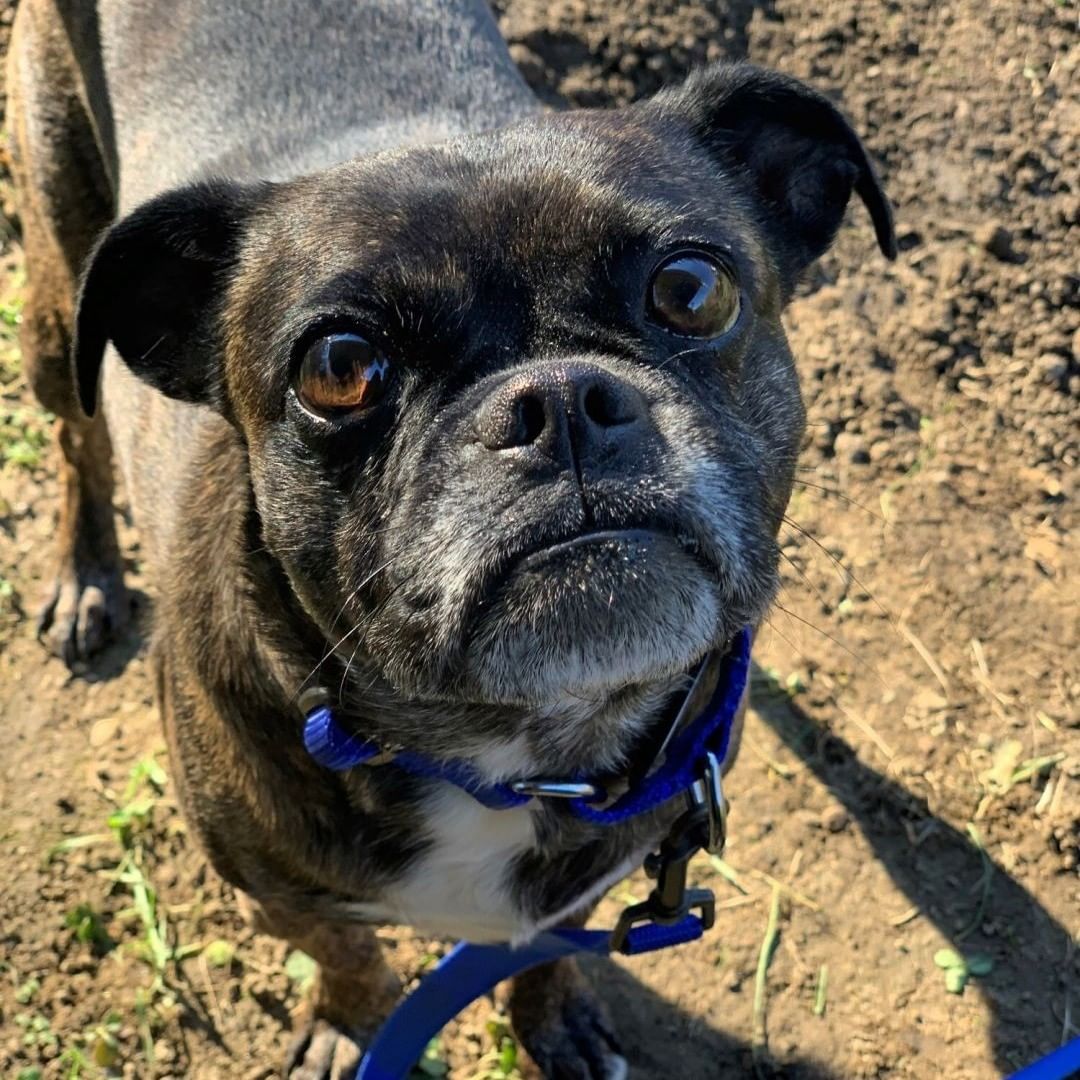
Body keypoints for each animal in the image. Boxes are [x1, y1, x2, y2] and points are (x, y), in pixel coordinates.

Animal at [10, 0, 894, 1071]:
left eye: (692, 289)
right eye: (339, 367)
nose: (558, 401)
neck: (516, 753)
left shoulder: (591, 878)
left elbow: (544, 949)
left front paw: (552, 1017)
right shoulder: (276, 893)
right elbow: (347, 950)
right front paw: (349, 1026)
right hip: (55, 310)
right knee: (76, 440)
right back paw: (86, 577)